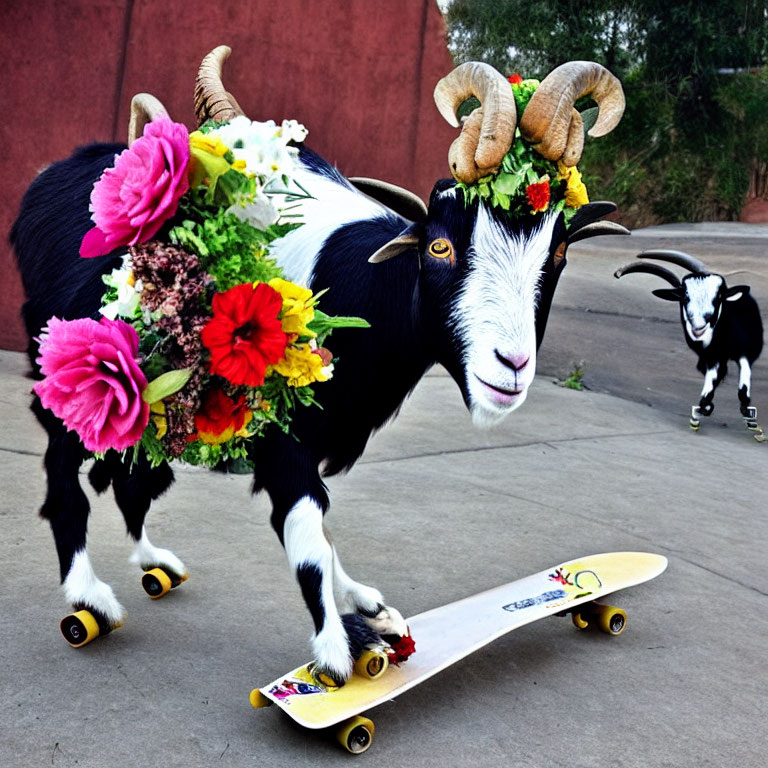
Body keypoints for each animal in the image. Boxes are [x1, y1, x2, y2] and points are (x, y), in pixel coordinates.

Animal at [616, 249, 764, 440]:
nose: (699, 325)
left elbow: (743, 386)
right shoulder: (711, 356)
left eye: (718, 297)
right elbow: (712, 379)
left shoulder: (744, 350)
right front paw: (701, 412)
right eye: (685, 297)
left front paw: (752, 421)